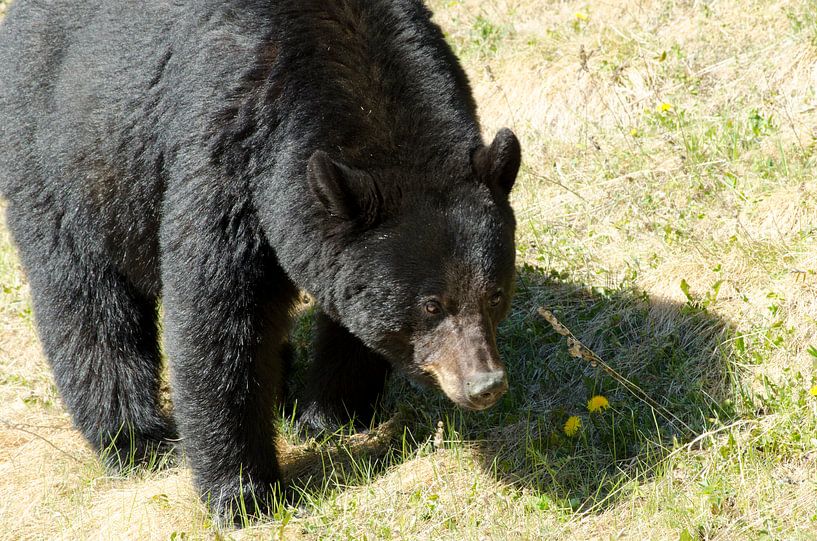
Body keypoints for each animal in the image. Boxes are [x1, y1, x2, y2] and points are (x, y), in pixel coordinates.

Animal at [0, 0, 520, 520]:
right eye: (432, 305)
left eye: (495, 294)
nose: (485, 384)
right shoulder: (227, 150)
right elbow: (219, 319)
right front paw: (245, 495)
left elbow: (348, 314)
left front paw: (331, 414)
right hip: (59, 170)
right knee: (88, 308)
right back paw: (136, 442)